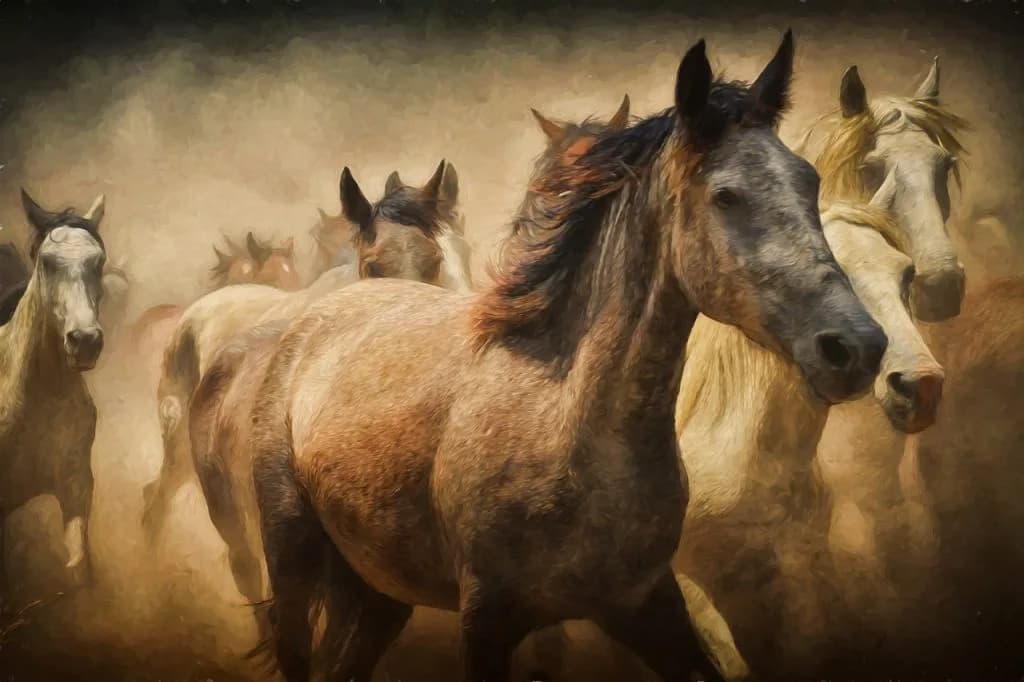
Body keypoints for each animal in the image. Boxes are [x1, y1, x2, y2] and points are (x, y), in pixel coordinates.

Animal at [247, 33, 887, 682]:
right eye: (726, 195)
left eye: (809, 181)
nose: (856, 346)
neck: (568, 423)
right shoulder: (488, 620)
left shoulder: (645, 603)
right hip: (293, 553)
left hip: (380, 589)